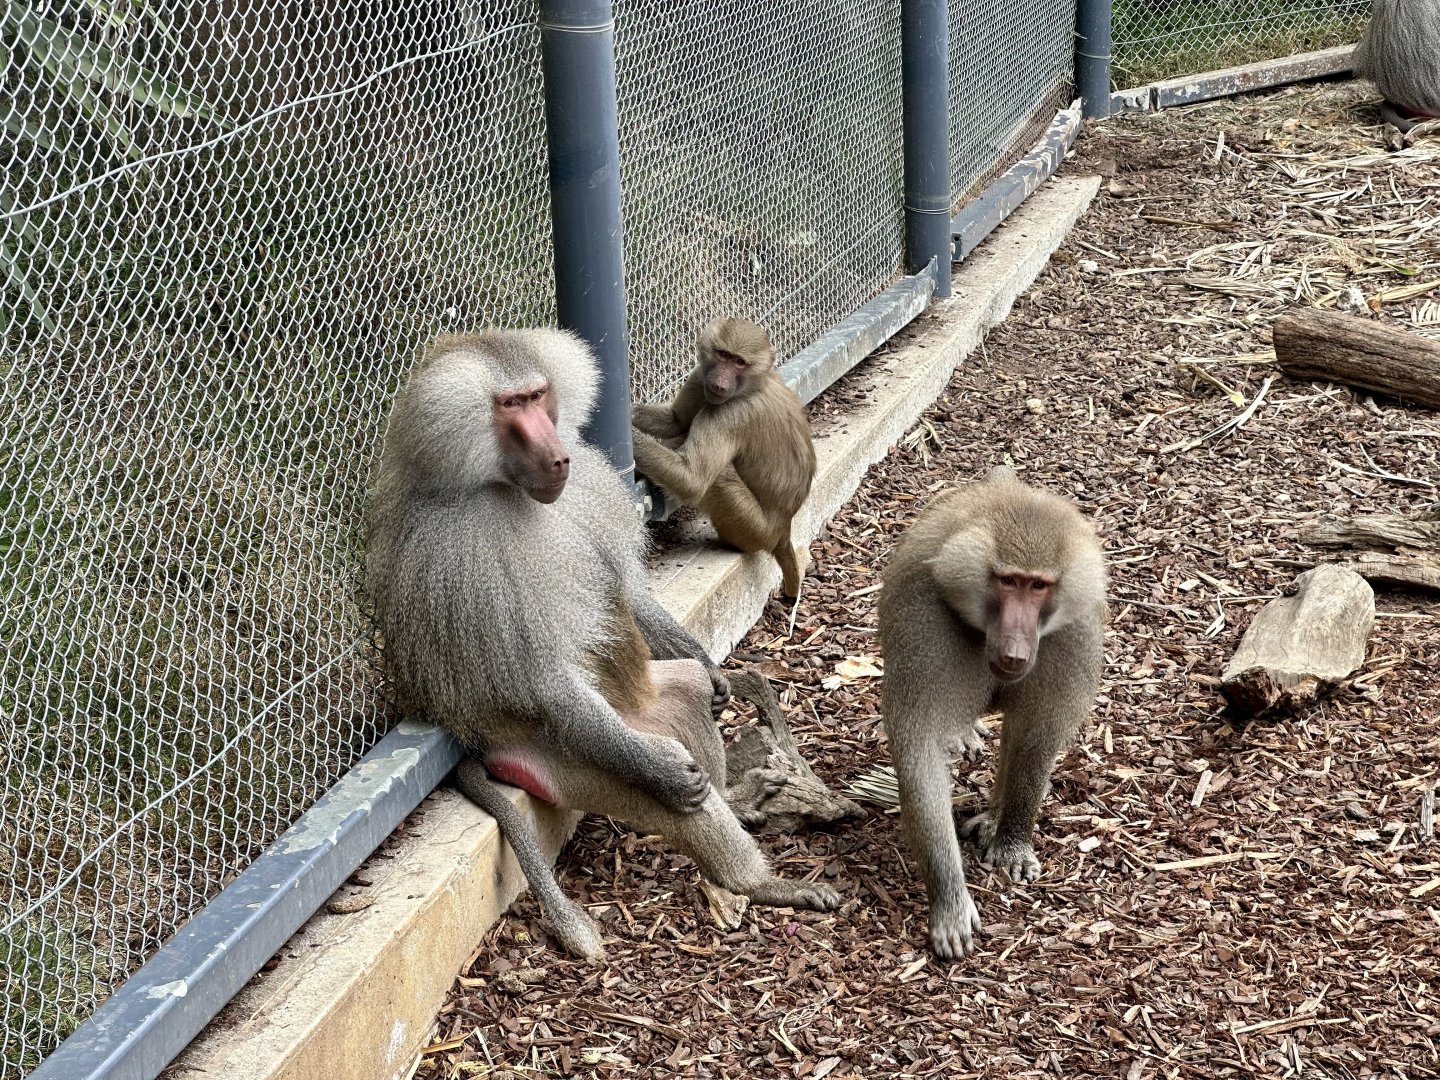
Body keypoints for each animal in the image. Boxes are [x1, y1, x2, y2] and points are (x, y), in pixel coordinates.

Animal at [631, 318, 816, 597]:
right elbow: (675, 421)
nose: (719, 384)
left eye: (739, 362)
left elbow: (692, 480)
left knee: (719, 475)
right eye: (723, 355)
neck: (753, 385)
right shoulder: (700, 378)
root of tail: (784, 530)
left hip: (753, 530)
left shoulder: (730, 413)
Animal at [878, 466, 1106, 960]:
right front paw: (950, 902)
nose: (1016, 652)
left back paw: (994, 819)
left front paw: (1011, 845)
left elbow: (1035, 736)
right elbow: (920, 750)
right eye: (1007, 581)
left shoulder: (1070, 635)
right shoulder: (922, 624)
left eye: (1038, 585)